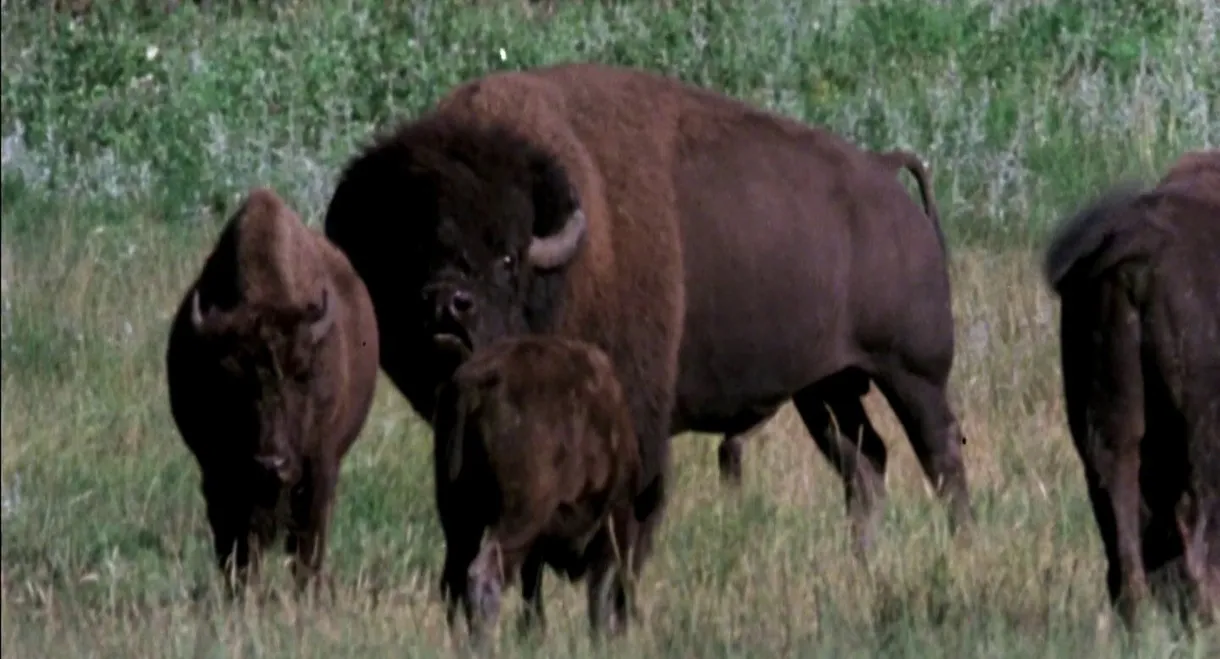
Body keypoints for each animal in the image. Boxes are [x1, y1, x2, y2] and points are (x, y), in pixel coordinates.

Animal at [166, 187, 380, 597]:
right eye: (229, 380)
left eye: (301, 375)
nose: (271, 464)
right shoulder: (217, 474)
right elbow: (235, 549)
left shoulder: (319, 468)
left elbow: (307, 547)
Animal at [322, 62, 972, 578]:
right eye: (409, 254)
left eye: (506, 257)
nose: (447, 305)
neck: (571, 259)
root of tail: (883, 172)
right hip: (825, 390)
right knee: (864, 463)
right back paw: (862, 560)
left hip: (911, 375)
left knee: (940, 456)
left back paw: (958, 545)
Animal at [432, 334, 641, 640]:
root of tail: (474, 379)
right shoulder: (613, 523)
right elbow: (598, 593)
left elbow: (532, 590)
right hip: (519, 517)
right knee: (483, 573)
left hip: (460, 519)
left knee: (453, 578)